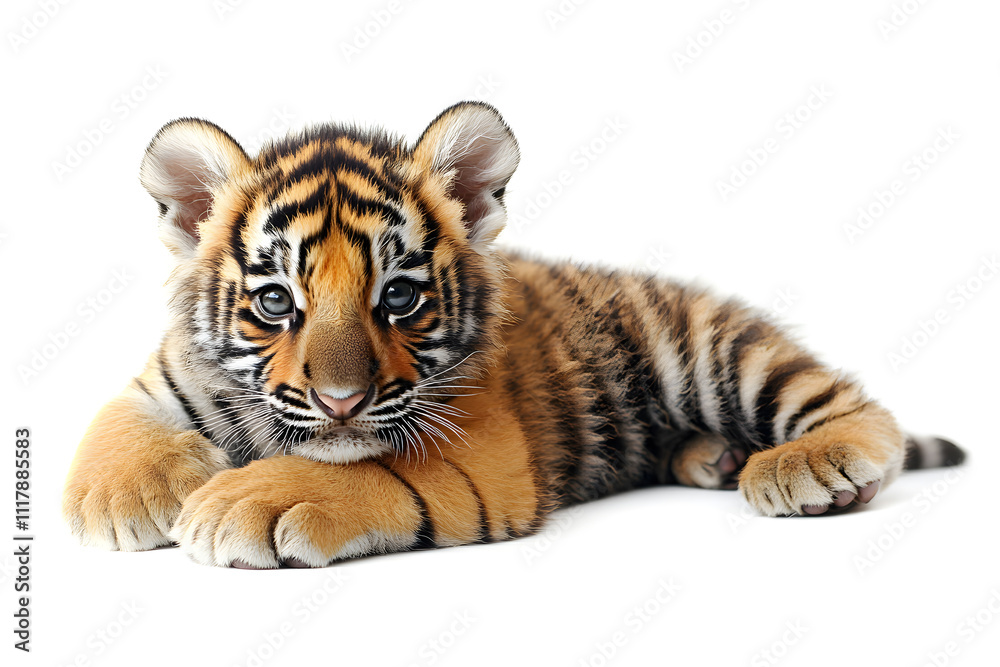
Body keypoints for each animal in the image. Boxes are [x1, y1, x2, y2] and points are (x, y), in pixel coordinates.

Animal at [62, 102, 966, 569]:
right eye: (278, 301)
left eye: (399, 296)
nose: (342, 401)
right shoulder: (168, 376)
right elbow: (115, 420)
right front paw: (123, 498)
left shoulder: (482, 450)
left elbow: (362, 468)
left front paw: (242, 500)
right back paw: (711, 457)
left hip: (723, 354)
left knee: (857, 409)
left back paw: (801, 468)